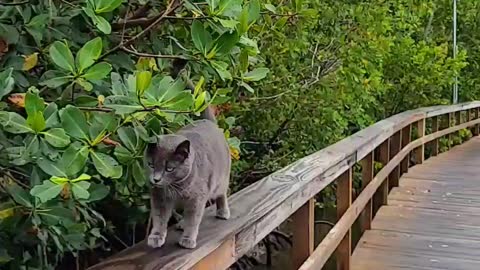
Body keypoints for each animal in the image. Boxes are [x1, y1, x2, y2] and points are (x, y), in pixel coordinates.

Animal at [146, 106, 231, 250]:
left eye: (169, 168)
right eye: (151, 165)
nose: (155, 179)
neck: (176, 188)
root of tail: (209, 122)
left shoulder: (197, 199)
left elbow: (193, 220)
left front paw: (187, 239)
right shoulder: (159, 196)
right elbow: (159, 217)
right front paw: (156, 237)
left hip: (222, 180)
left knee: (222, 194)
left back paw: (223, 212)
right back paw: (181, 224)